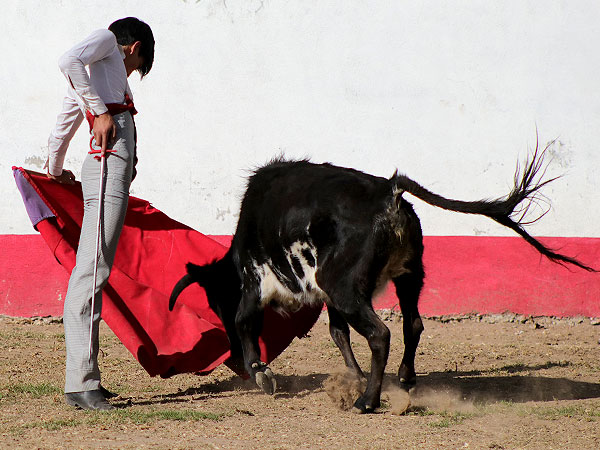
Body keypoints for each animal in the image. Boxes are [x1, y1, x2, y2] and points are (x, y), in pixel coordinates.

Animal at [169, 146, 596, 414]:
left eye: (216, 301)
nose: (232, 360)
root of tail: (388, 192)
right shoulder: (326, 296)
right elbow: (337, 332)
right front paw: (354, 376)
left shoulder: (258, 281)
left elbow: (247, 321)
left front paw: (261, 374)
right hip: (407, 276)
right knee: (412, 323)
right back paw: (403, 379)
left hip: (343, 284)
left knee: (381, 333)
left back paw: (367, 402)